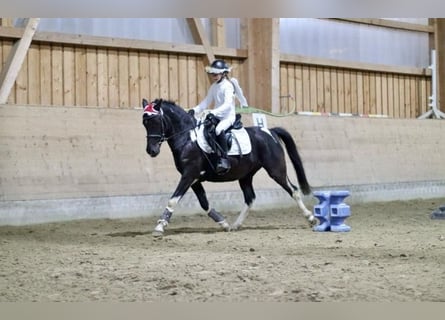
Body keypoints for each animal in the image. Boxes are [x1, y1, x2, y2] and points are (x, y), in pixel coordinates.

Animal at [140, 97, 314, 235]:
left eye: (156, 121)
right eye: (144, 123)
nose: (151, 150)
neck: (188, 138)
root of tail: (270, 132)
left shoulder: (189, 175)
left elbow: (173, 200)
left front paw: (159, 227)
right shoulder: (194, 179)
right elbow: (204, 203)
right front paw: (223, 223)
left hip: (276, 170)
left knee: (293, 190)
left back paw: (311, 218)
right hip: (245, 176)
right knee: (250, 198)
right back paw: (235, 225)